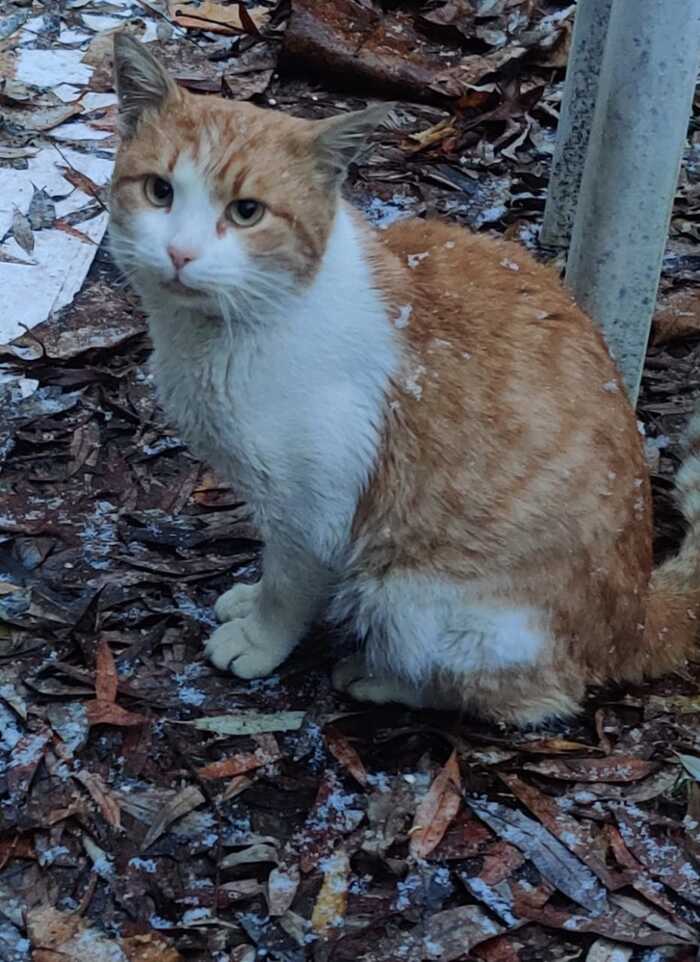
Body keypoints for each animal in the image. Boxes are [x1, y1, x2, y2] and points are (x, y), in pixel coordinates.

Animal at [109, 35, 700, 720]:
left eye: (246, 212)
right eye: (159, 192)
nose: (180, 254)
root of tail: (638, 612)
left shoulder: (312, 514)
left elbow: (289, 585)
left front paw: (259, 635)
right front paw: (248, 598)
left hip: (413, 598)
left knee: (527, 696)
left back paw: (379, 677)